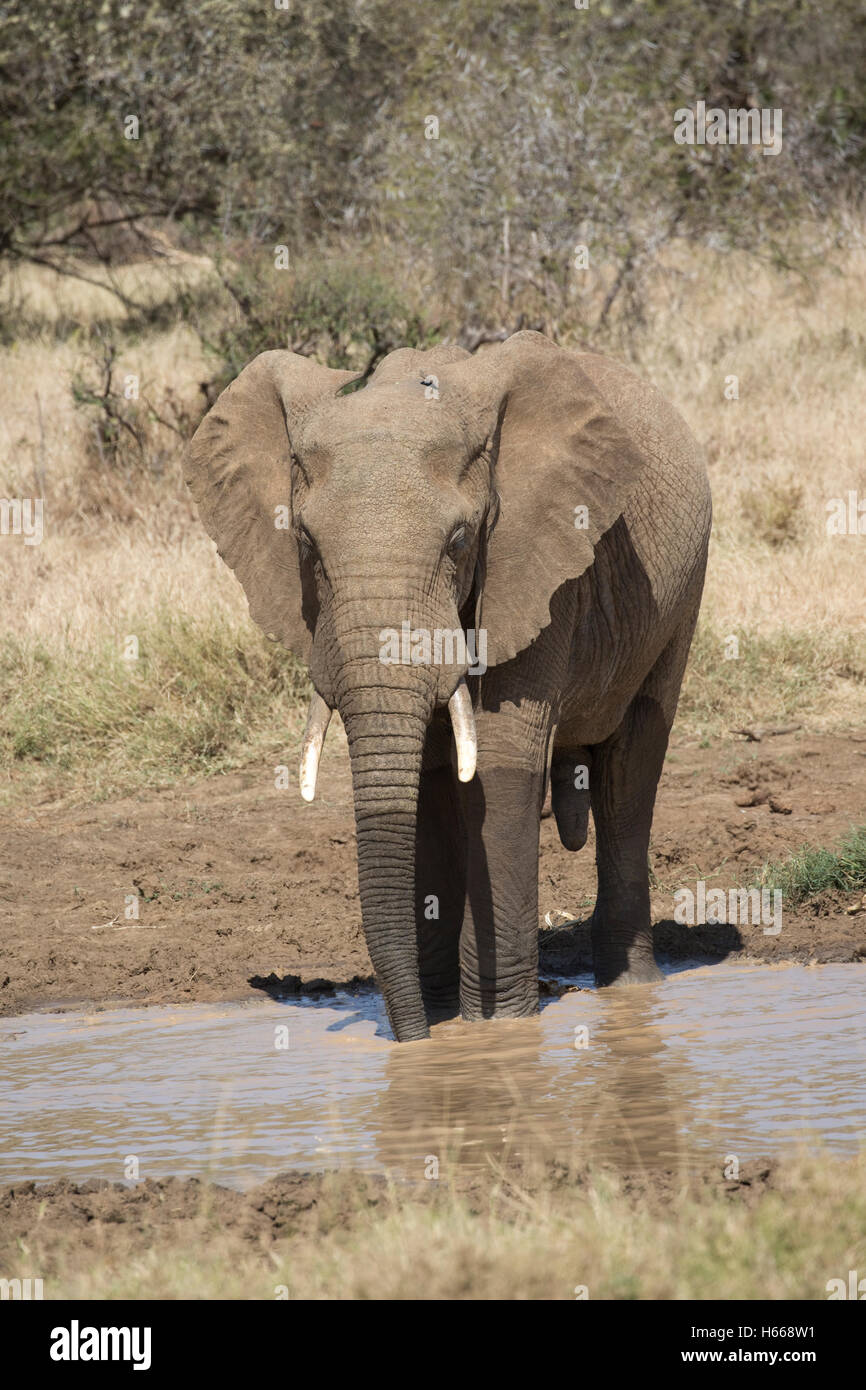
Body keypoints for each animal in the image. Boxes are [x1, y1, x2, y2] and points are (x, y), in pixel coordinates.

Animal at [186, 330, 711, 1042]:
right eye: (307, 546)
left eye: (460, 541)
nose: (408, 1037)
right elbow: (433, 777)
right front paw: (440, 1025)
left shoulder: (531, 564)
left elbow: (497, 760)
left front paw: (495, 1031)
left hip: (681, 593)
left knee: (631, 771)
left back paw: (631, 990)